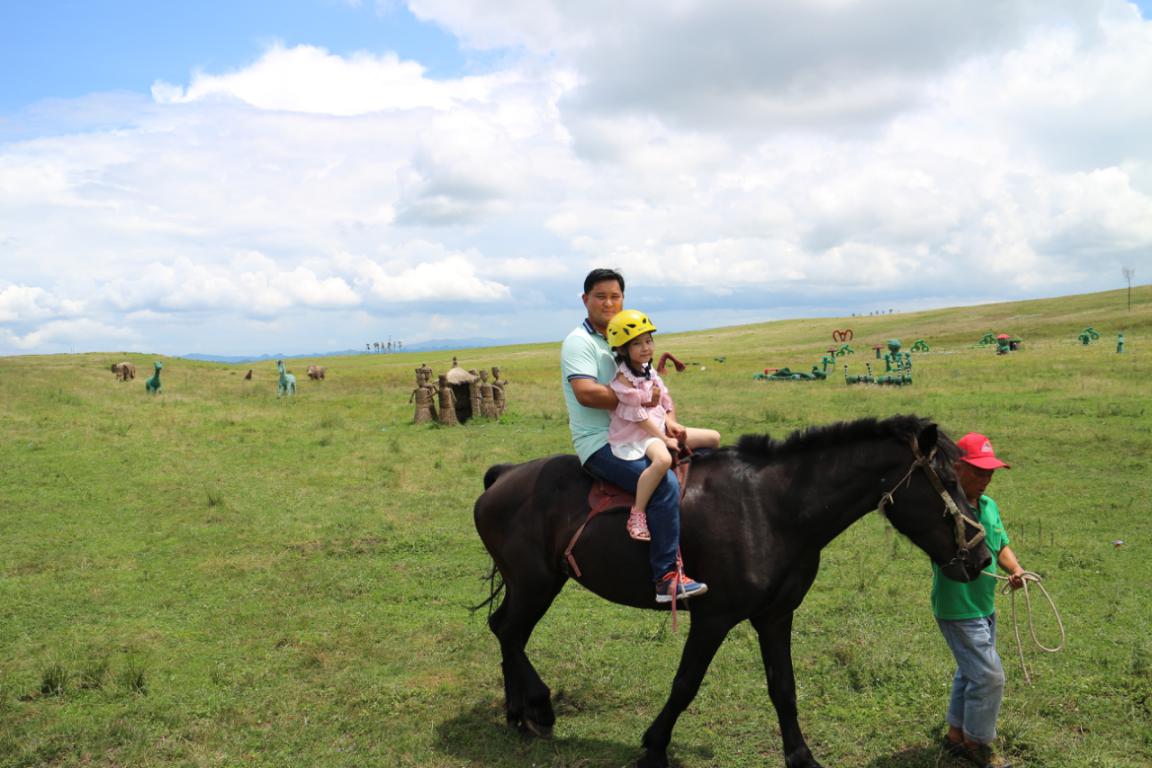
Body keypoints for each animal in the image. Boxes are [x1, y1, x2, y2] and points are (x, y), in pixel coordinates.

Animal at [472, 414, 995, 768]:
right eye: (950, 481)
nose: (982, 560)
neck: (772, 509)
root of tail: (505, 474)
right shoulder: (713, 617)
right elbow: (685, 683)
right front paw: (654, 746)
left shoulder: (776, 616)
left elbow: (784, 688)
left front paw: (800, 755)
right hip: (536, 584)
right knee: (509, 632)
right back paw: (538, 707)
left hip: (534, 584)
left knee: (505, 631)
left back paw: (519, 713)